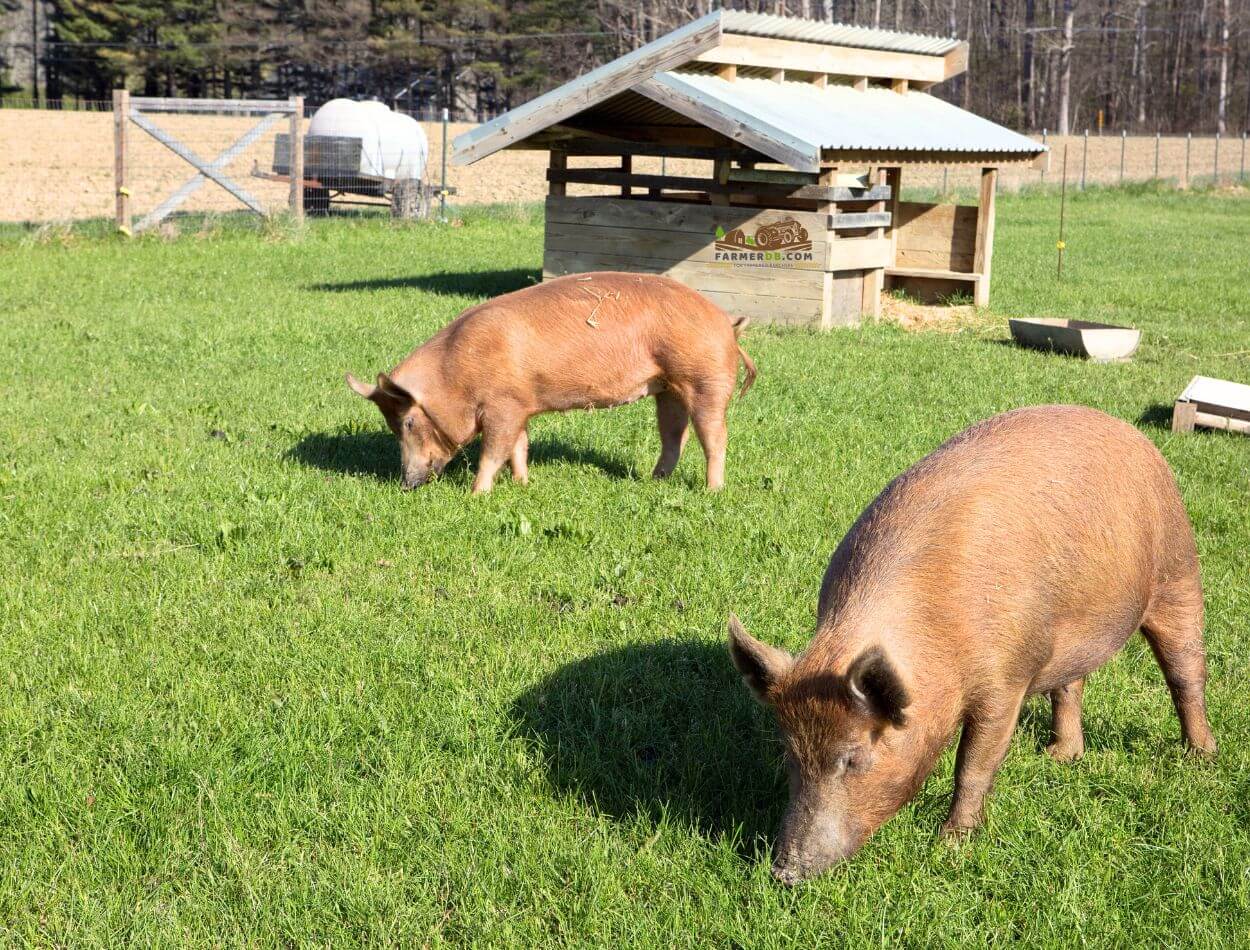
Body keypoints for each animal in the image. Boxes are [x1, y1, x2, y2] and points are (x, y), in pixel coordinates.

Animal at [345, 271, 750, 492]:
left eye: (408, 423)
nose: (406, 484)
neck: (456, 376)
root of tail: (727, 323)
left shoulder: (502, 405)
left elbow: (493, 451)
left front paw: (477, 495)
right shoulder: (519, 404)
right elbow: (519, 447)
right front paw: (523, 484)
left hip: (705, 379)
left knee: (715, 436)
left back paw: (712, 491)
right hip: (668, 388)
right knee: (674, 436)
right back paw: (654, 481)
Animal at [730, 407, 1215, 885]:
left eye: (852, 759)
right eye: (790, 755)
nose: (784, 872)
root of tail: (1133, 434)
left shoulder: (1006, 681)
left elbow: (973, 763)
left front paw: (950, 845)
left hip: (1178, 569)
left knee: (1185, 672)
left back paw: (1200, 758)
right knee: (1069, 684)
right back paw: (1060, 758)